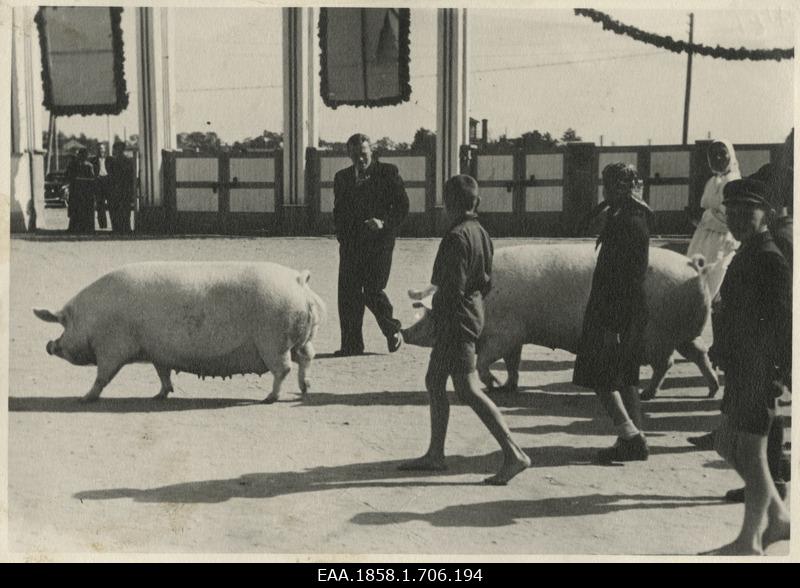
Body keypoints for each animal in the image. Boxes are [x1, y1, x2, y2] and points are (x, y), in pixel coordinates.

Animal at [31, 262, 324, 404]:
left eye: (63, 323)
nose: (48, 345)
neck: (92, 318)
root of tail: (298, 280)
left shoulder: (112, 348)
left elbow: (102, 377)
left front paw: (83, 399)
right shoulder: (157, 352)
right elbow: (162, 374)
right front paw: (159, 395)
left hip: (273, 340)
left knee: (283, 368)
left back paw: (269, 398)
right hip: (301, 338)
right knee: (307, 357)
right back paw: (305, 389)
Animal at [404, 243, 720, 400]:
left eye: (430, 313)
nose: (404, 332)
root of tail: (693, 265)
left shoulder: (504, 334)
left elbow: (484, 361)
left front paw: (493, 386)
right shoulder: (517, 335)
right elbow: (513, 363)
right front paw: (508, 387)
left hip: (659, 334)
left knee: (666, 363)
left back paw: (647, 394)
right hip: (683, 332)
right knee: (700, 353)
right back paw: (711, 390)